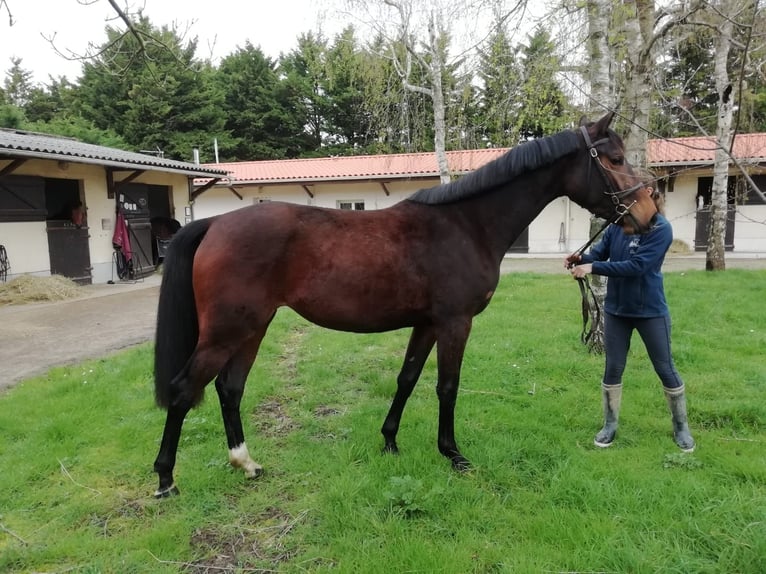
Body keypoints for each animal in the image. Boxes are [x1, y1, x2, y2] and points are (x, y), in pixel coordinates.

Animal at [152, 113, 660, 500]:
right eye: (614, 158)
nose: (648, 215)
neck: (466, 225)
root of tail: (215, 223)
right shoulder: (455, 323)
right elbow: (446, 387)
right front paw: (453, 453)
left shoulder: (427, 324)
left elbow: (408, 378)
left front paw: (390, 442)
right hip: (227, 331)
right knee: (183, 390)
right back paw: (166, 480)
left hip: (252, 328)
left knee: (229, 388)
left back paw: (246, 463)